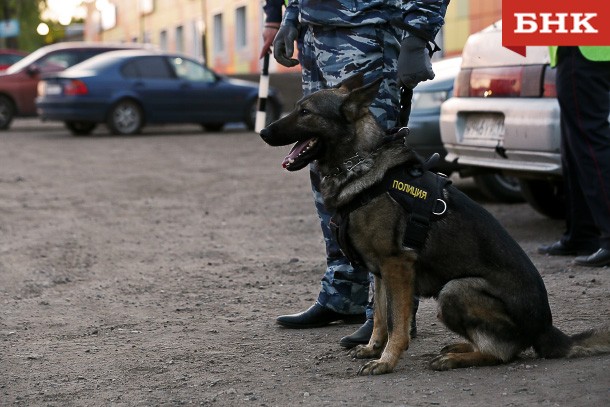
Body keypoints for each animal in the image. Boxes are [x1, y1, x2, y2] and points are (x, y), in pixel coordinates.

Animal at [258, 74, 608, 376]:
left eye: (305, 112)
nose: (263, 132)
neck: (361, 165)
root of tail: (547, 329)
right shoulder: (379, 273)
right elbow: (380, 317)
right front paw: (373, 348)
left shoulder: (397, 267)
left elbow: (397, 322)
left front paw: (387, 361)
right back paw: (458, 347)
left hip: (454, 290)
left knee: (502, 353)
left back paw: (457, 358)